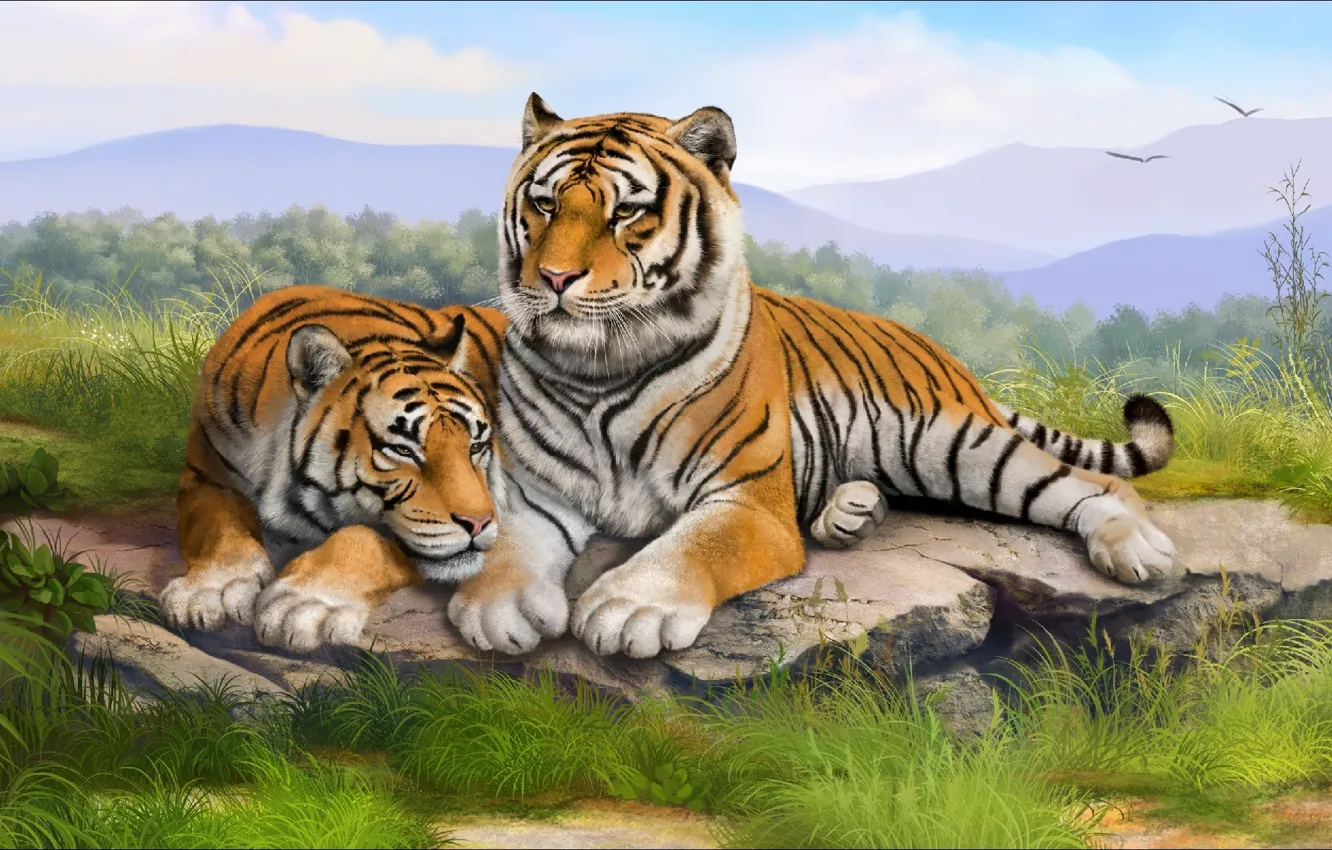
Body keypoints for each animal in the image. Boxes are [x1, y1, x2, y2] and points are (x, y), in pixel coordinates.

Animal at [159, 285, 508, 653]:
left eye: (476, 446)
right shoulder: (205, 475)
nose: (480, 523)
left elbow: (363, 535)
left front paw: (303, 604)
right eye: (403, 449)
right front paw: (211, 591)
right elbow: (215, 524)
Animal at [445, 94, 1177, 660]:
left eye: (625, 212)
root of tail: (941, 352)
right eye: (544, 205)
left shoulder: (744, 500)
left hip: (957, 447)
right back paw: (850, 511)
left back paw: (1139, 550)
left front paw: (628, 608)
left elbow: (690, 546)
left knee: (1093, 482)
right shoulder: (533, 493)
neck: (598, 372)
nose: (554, 278)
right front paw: (496, 607)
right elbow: (507, 544)